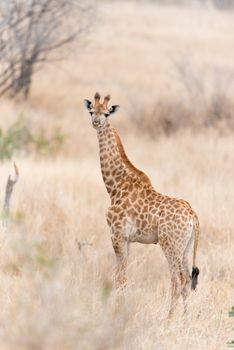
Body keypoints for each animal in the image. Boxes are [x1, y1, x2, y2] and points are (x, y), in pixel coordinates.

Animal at [83, 93, 199, 318]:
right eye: (92, 111)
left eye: (107, 113)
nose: (96, 123)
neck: (115, 185)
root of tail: (193, 217)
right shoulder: (128, 240)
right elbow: (123, 277)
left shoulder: (117, 235)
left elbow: (120, 278)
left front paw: (117, 313)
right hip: (187, 247)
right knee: (188, 279)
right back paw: (186, 318)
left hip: (170, 244)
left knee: (177, 278)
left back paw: (169, 318)